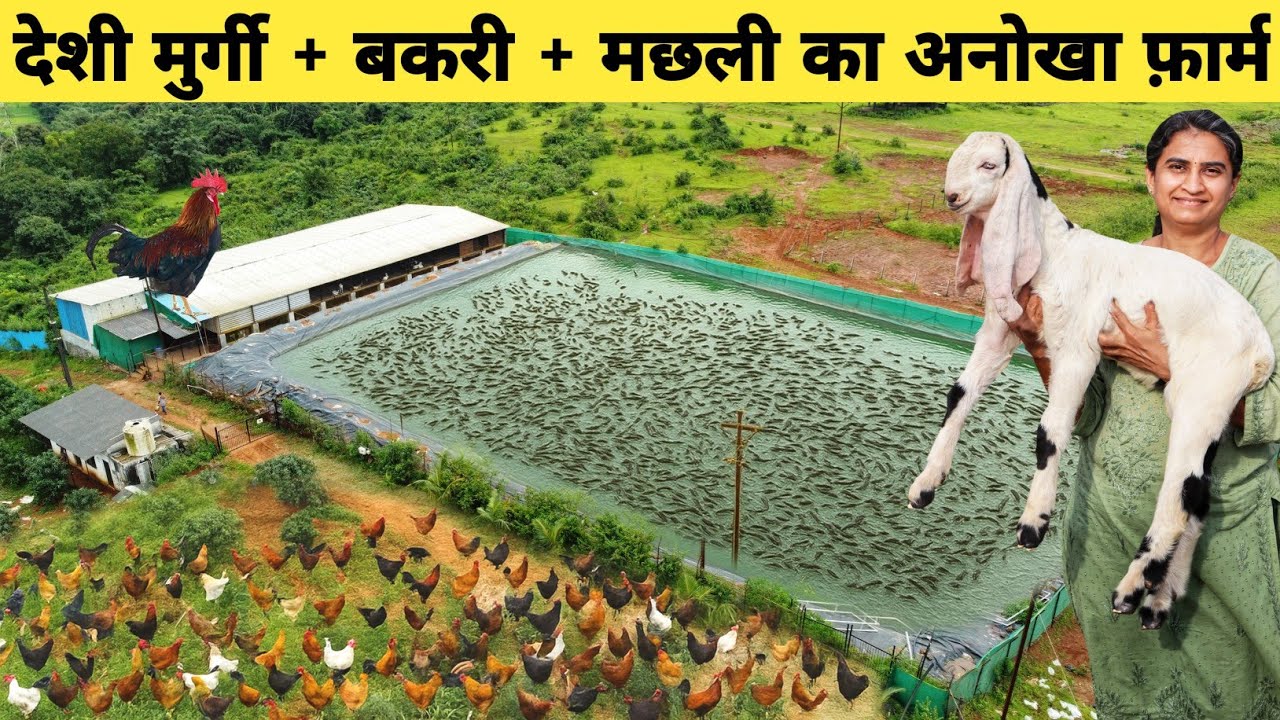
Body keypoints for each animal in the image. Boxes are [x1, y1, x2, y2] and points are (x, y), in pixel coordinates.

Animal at [907, 131, 1274, 629]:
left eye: (989, 165)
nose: (952, 197)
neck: (1055, 252)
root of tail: (1261, 350)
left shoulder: (1078, 348)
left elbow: (1049, 431)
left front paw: (1034, 523)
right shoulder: (1003, 329)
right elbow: (958, 394)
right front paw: (926, 484)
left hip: (1203, 394)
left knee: (1182, 489)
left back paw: (1132, 587)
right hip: (1215, 409)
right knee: (1198, 494)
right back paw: (1160, 600)